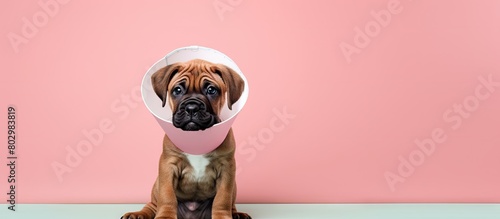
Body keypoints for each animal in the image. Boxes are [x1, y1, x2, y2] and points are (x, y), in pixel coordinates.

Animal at [123, 58, 252, 219]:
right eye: (177, 90)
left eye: (211, 90)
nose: (191, 108)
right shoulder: (168, 166)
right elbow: (167, 195)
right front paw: (165, 216)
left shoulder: (227, 169)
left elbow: (222, 198)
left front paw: (222, 216)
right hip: (156, 187)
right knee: (152, 205)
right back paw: (137, 214)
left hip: (234, 186)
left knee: (230, 203)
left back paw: (237, 214)